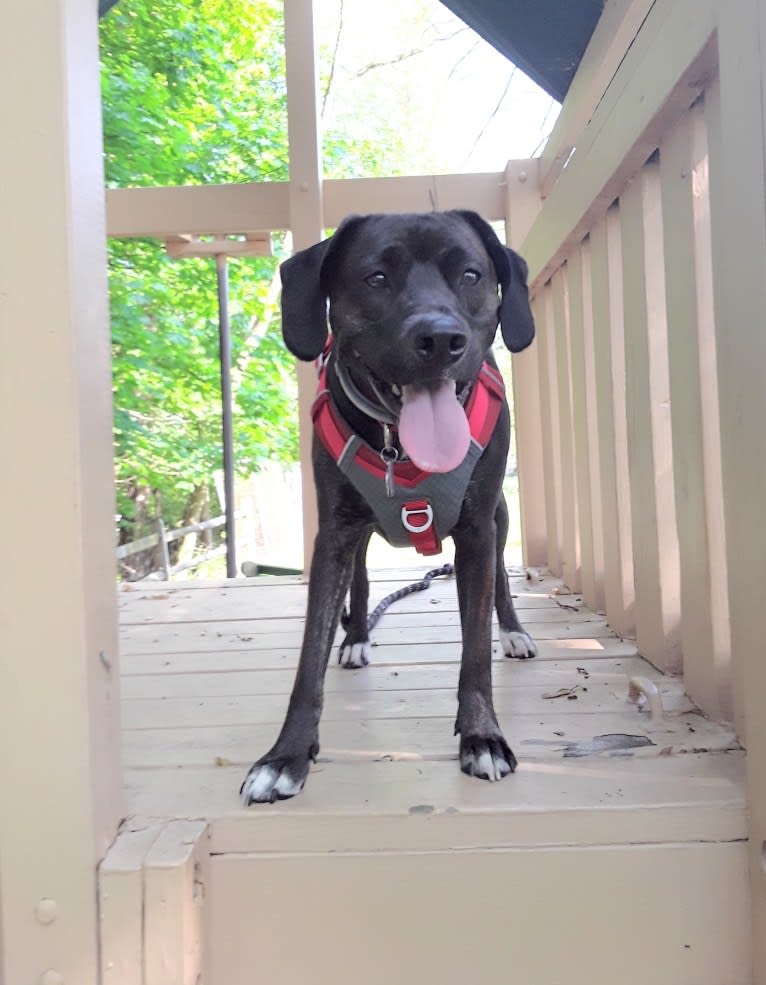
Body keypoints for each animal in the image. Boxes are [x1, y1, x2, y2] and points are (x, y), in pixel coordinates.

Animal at [243, 211, 536, 804]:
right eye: (376, 278)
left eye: (471, 275)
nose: (440, 338)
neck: (396, 444)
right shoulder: (333, 533)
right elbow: (309, 656)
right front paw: (286, 756)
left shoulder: (478, 529)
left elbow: (475, 650)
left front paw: (483, 738)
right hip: (359, 532)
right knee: (360, 581)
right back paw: (357, 638)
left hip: (500, 515)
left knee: (500, 577)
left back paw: (513, 630)